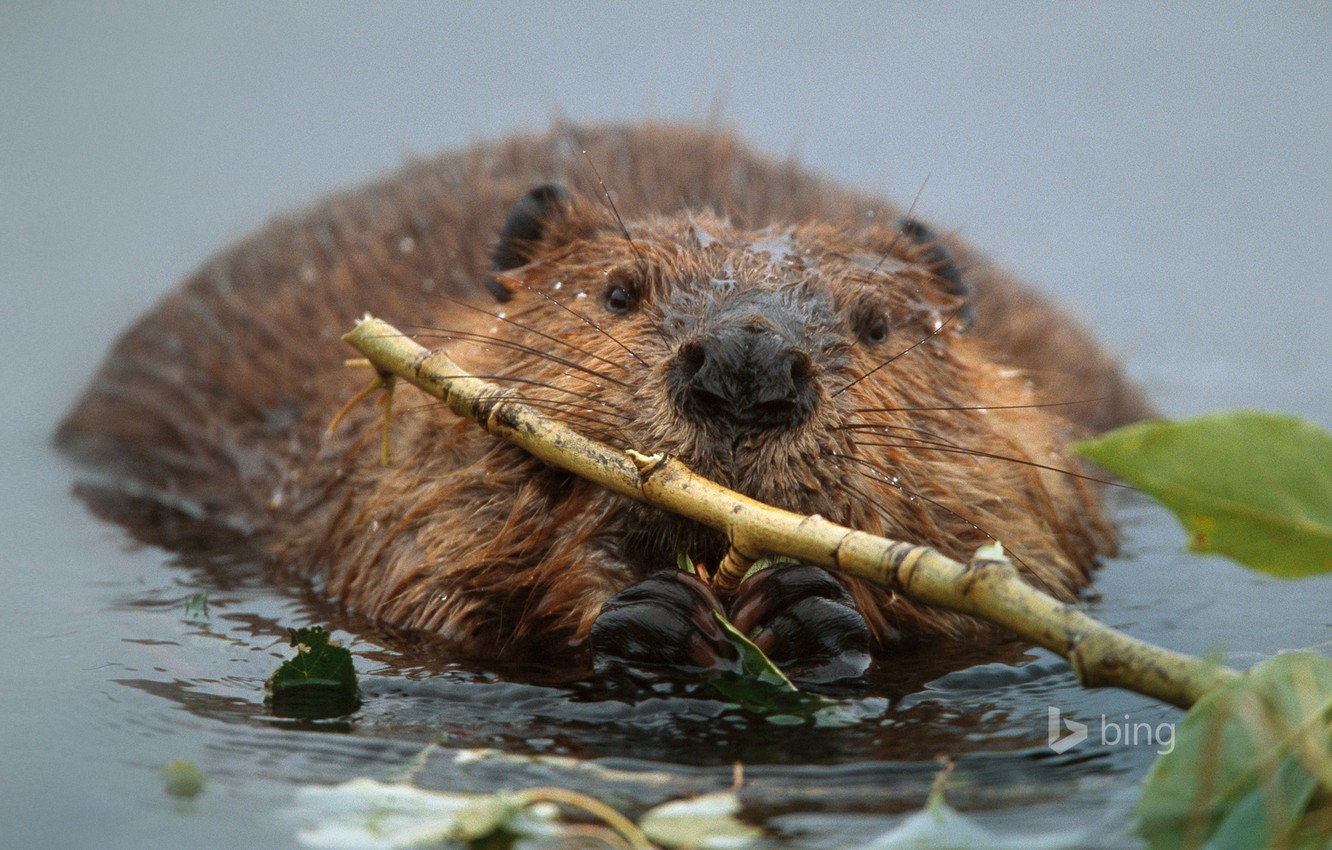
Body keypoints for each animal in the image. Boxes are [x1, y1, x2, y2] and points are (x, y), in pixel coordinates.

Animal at [57, 125, 1150, 687]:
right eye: (619, 292)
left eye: (877, 322)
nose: (748, 367)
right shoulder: (373, 475)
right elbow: (409, 556)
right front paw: (649, 614)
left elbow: (1020, 561)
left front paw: (808, 604)